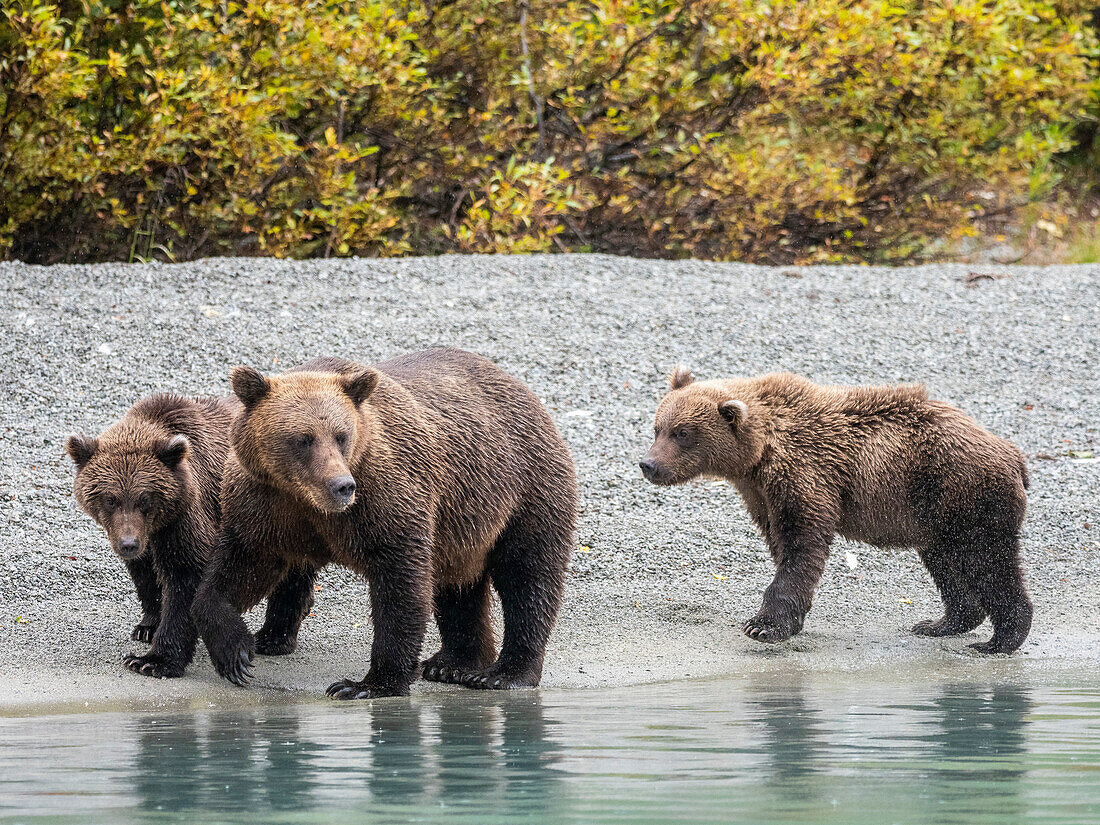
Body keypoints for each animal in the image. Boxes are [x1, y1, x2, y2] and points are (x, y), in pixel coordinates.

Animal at [66, 396, 238, 677]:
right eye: (110, 499)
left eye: (144, 498)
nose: (128, 544)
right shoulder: (142, 536)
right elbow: (145, 574)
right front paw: (147, 627)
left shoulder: (185, 517)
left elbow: (185, 576)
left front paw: (152, 660)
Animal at [189, 347, 576, 699]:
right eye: (303, 439)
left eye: (341, 435)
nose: (342, 486)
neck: (307, 502)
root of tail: (523, 388)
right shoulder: (264, 506)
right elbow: (238, 570)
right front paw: (236, 653)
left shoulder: (384, 498)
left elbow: (400, 583)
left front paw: (367, 684)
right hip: (463, 522)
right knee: (459, 586)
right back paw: (452, 663)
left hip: (525, 487)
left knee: (528, 575)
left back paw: (503, 673)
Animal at [642, 371, 1034, 655]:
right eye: (657, 427)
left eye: (682, 432)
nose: (649, 464)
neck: (758, 455)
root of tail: (1013, 453)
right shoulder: (761, 493)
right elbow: (781, 544)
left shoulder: (805, 475)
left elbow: (801, 547)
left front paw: (762, 625)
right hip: (935, 516)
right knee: (946, 562)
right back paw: (940, 623)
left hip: (966, 496)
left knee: (989, 562)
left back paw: (999, 640)